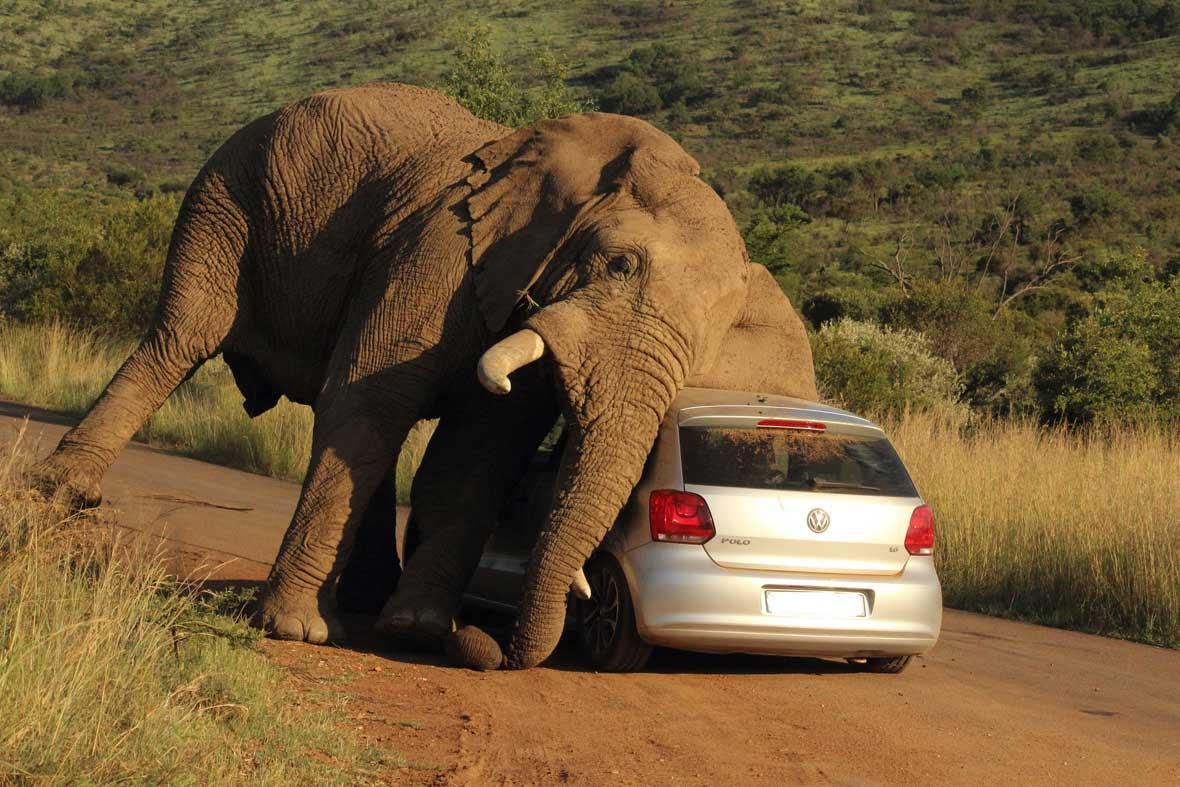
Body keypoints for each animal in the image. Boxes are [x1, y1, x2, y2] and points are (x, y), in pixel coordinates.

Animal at [31, 83, 817, 670]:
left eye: (713, 335)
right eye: (620, 265)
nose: (484, 645)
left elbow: (477, 451)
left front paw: (415, 627)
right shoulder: (442, 246)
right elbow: (373, 397)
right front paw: (297, 631)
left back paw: (364, 604)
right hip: (228, 194)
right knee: (181, 338)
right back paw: (63, 496)